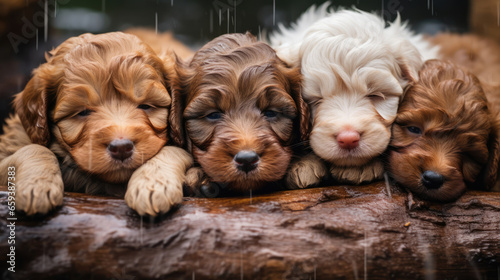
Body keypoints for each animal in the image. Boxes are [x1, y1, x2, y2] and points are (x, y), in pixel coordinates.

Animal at [0, 31, 193, 215]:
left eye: (146, 106)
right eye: (82, 112)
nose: (121, 148)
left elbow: (173, 150)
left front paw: (153, 185)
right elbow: (35, 149)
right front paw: (37, 185)